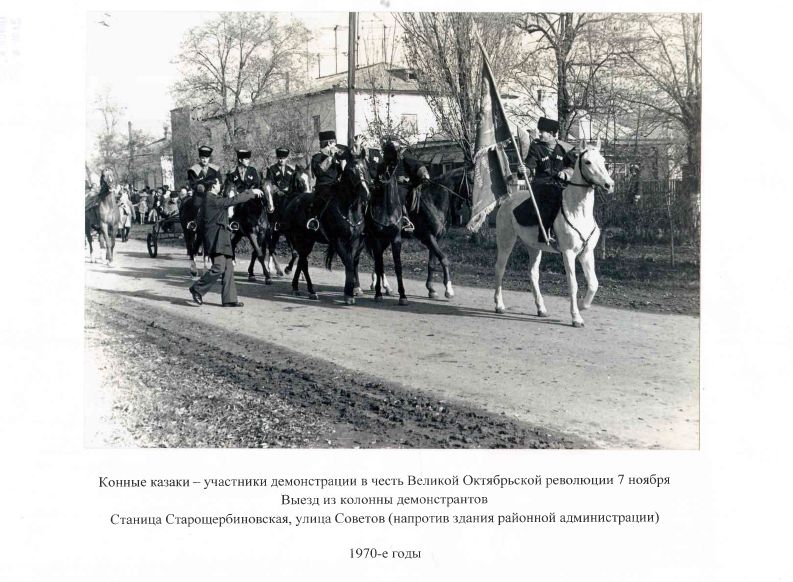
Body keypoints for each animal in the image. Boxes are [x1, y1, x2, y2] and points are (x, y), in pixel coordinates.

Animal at [279, 153, 372, 304]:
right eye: (351, 171)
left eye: (365, 168)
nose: (366, 193)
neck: (349, 209)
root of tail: (294, 199)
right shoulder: (338, 240)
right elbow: (348, 263)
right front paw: (349, 294)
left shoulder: (355, 241)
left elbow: (352, 263)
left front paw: (352, 290)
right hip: (300, 238)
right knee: (303, 262)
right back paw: (310, 290)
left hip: (308, 240)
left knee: (301, 260)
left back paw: (296, 286)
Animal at [493, 138, 614, 327]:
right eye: (587, 162)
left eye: (603, 160)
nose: (609, 185)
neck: (578, 211)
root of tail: (508, 199)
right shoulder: (569, 253)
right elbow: (573, 284)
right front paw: (576, 317)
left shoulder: (587, 253)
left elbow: (593, 283)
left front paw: (582, 305)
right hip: (506, 241)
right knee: (500, 268)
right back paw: (499, 305)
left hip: (534, 247)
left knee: (533, 274)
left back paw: (541, 308)